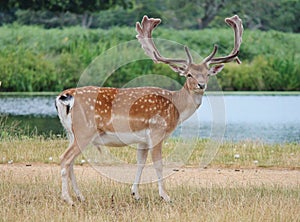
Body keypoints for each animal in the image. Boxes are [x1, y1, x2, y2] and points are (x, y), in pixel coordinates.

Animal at [55, 14, 244, 205]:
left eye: (207, 73)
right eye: (189, 74)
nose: (201, 85)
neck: (176, 107)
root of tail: (65, 96)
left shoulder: (143, 140)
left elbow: (141, 162)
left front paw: (135, 193)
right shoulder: (157, 131)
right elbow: (159, 164)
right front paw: (165, 196)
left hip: (71, 133)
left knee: (71, 162)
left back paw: (80, 196)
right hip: (85, 130)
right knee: (65, 159)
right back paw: (68, 198)